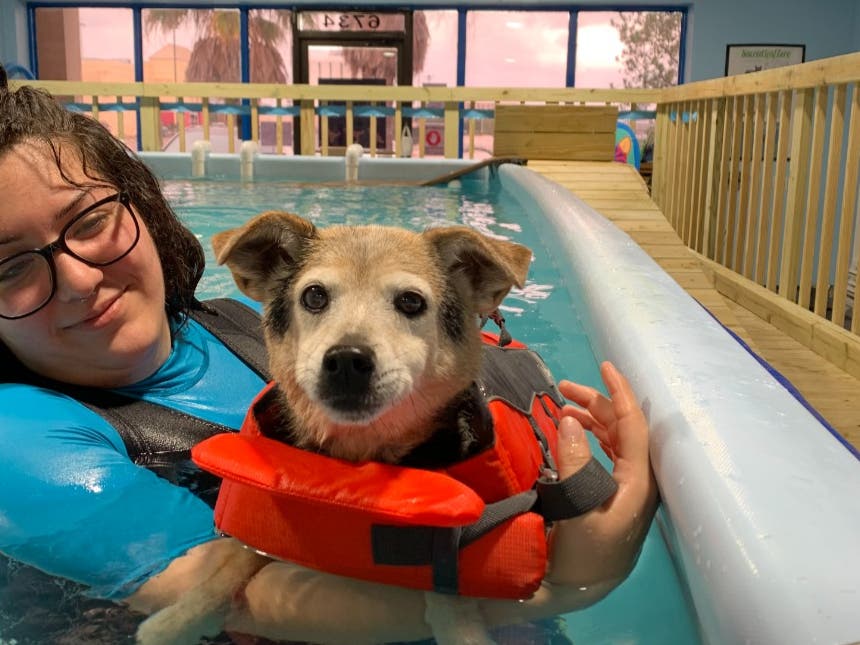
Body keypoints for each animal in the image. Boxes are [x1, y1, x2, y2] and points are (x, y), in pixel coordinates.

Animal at [136, 213, 532, 644]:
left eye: (411, 301)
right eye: (315, 296)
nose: (346, 360)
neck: (353, 464)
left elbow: (446, 582)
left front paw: (462, 630)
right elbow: (234, 562)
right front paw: (177, 621)